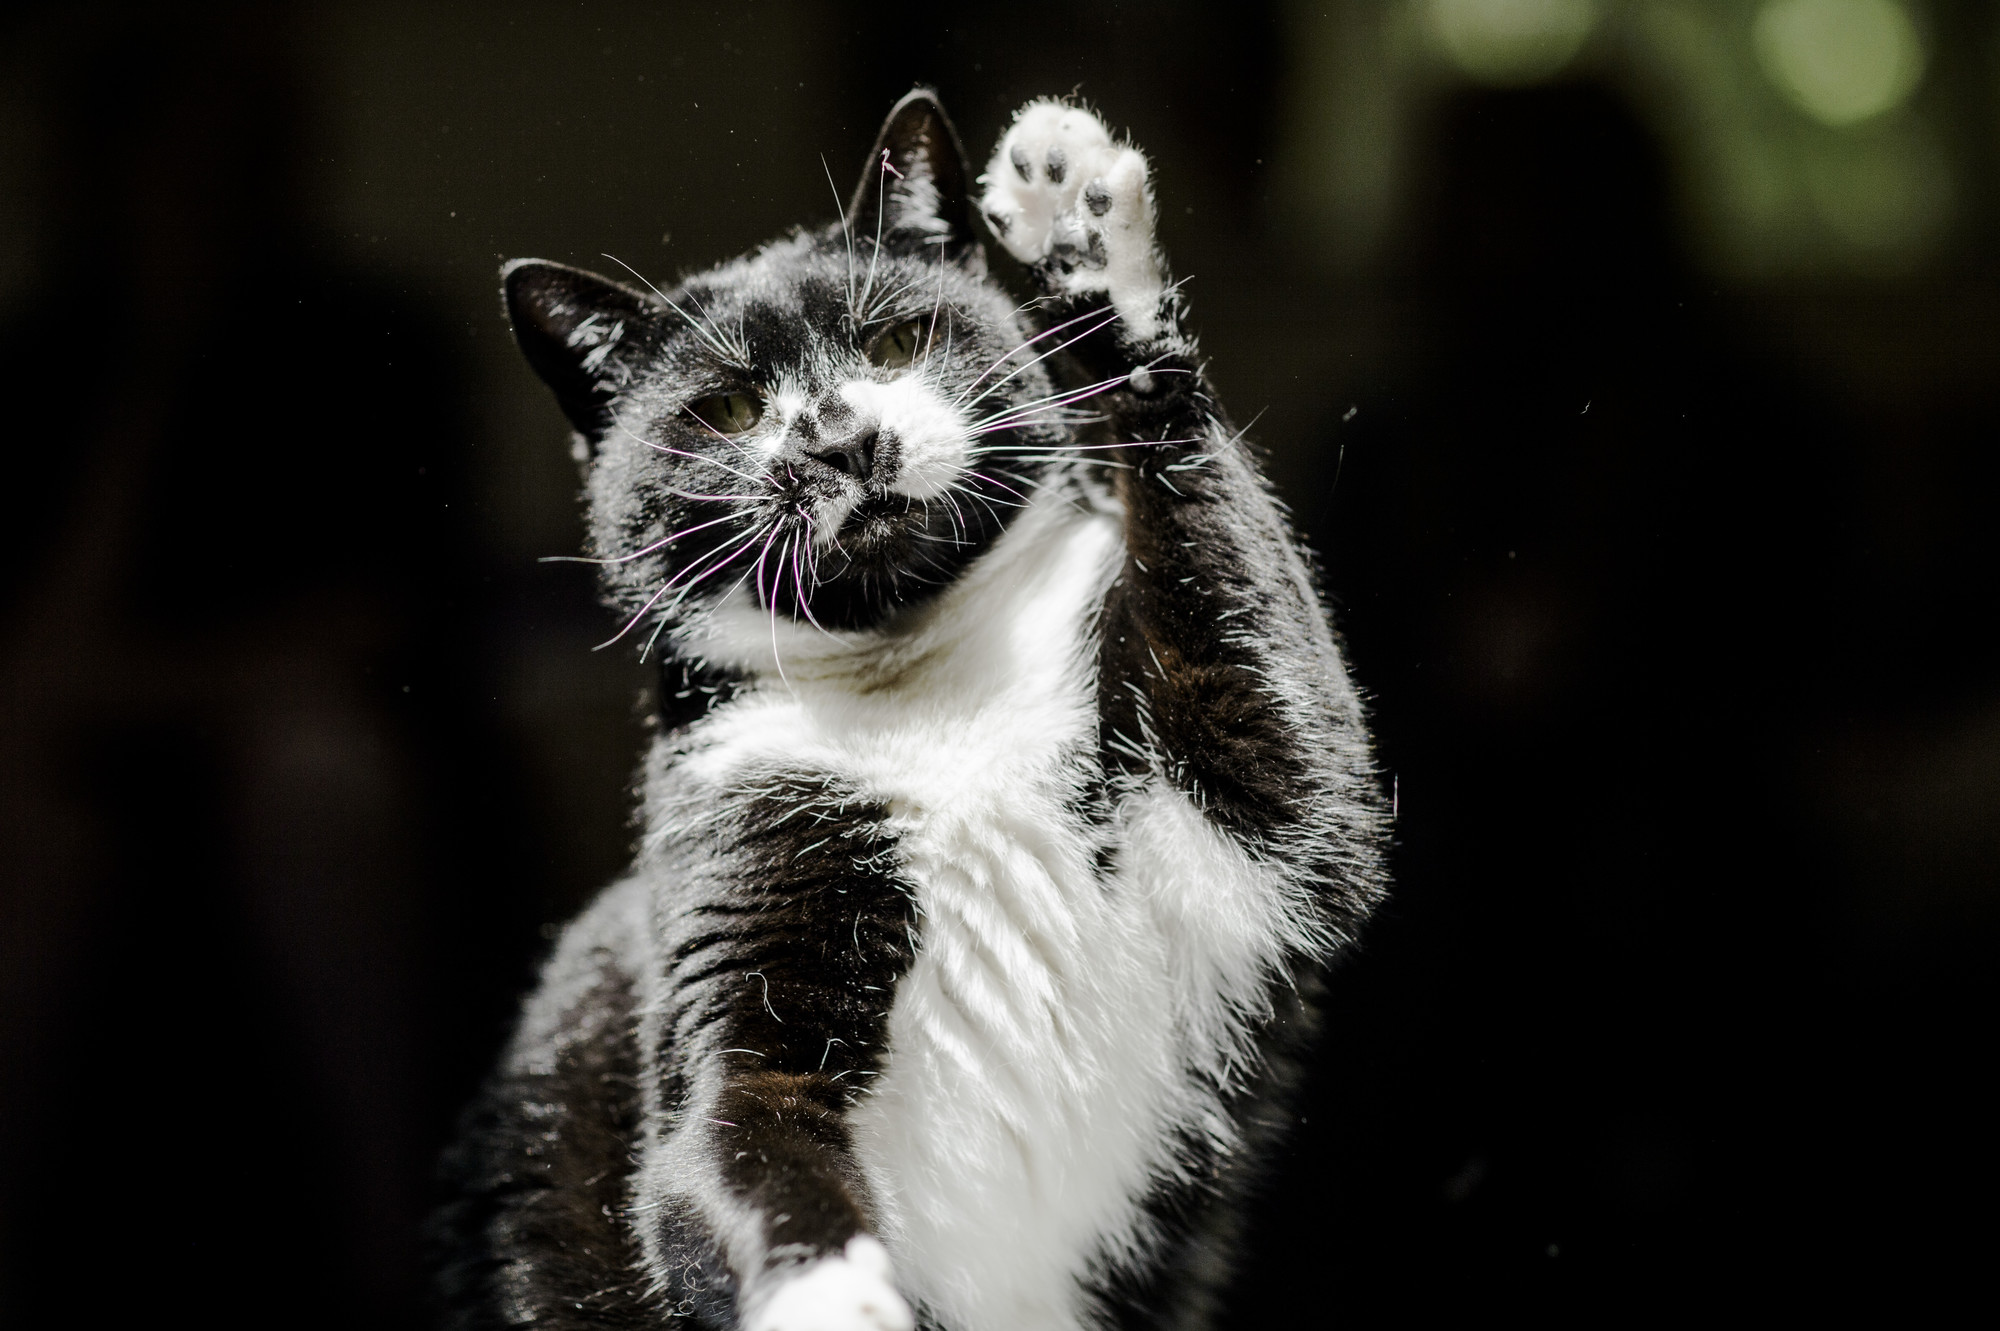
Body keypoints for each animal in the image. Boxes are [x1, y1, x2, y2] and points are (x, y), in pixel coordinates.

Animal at [438, 90, 1384, 1327]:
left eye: (893, 342)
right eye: (730, 407)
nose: (844, 440)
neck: (922, 690)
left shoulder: (1256, 808)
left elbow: (1274, 725)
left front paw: (1083, 243)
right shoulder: (730, 922)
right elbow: (727, 1141)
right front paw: (833, 1294)